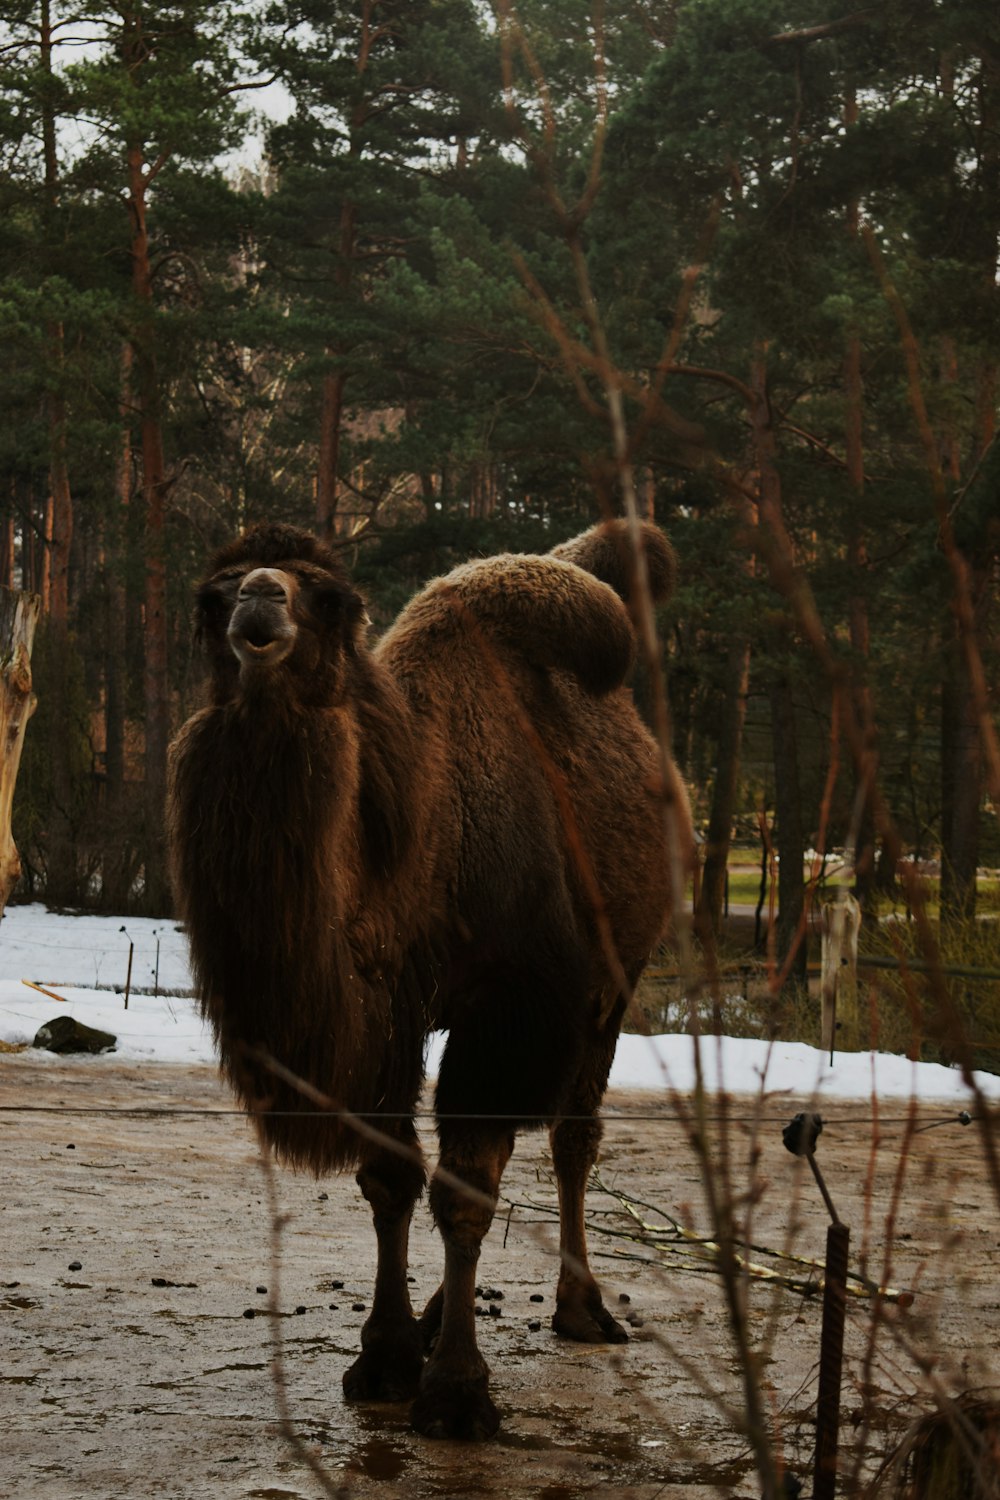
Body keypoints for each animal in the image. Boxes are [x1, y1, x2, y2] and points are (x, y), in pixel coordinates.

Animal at [167, 519, 692, 1440]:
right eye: (213, 593)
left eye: (328, 597)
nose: (260, 602)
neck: (425, 848)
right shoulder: (391, 1016)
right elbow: (389, 1177)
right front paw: (384, 1356)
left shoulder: (513, 1003)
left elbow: (468, 1186)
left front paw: (454, 1391)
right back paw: (441, 1311)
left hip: (616, 981)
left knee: (572, 1135)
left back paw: (582, 1309)